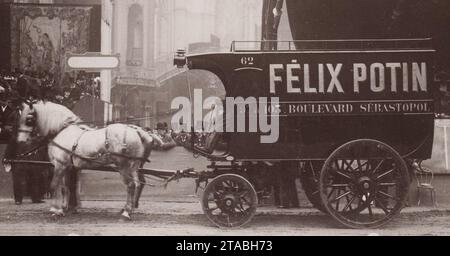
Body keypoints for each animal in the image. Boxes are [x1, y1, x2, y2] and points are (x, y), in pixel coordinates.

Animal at [17, 101, 162, 221]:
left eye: (29, 119)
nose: (20, 141)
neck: (62, 131)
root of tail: (137, 131)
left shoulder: (60, 165)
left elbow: (53, 185)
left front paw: (55, 210)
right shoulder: (68, 167)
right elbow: (65, 188)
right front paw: (64, 208)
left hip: (123, 166)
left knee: (131, 185)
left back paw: (126, 213)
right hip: (134, 166)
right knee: (137, 184)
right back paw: (129, 209)